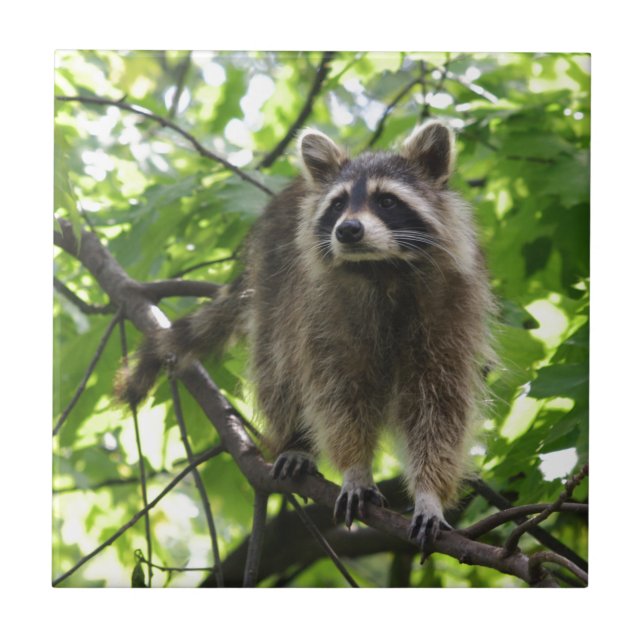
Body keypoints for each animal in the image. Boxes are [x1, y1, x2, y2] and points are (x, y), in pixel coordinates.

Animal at [116, 120, 494, 550]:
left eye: (386, 201)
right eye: (338, 205)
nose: (348, 230)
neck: (381, 268)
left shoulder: (452, 304)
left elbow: (439, 402)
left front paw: (429, 492)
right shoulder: (323, 307)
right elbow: (338, 393)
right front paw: (355, 467)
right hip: (272, 282)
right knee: (277, 367)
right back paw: (294, 440)